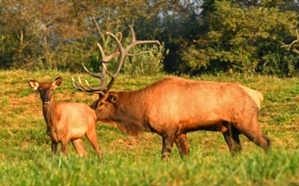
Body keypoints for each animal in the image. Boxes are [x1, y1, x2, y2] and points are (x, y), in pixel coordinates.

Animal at [72, 25, 270, 159]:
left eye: (100, 103)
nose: (88, 111)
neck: (142, 111)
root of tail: (257, 95)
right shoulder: (181, 131)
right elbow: (185, 155)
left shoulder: (168, 129)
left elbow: (165, 156)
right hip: (228, 128)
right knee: (236, 149)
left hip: (246, 120)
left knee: (266, 142)